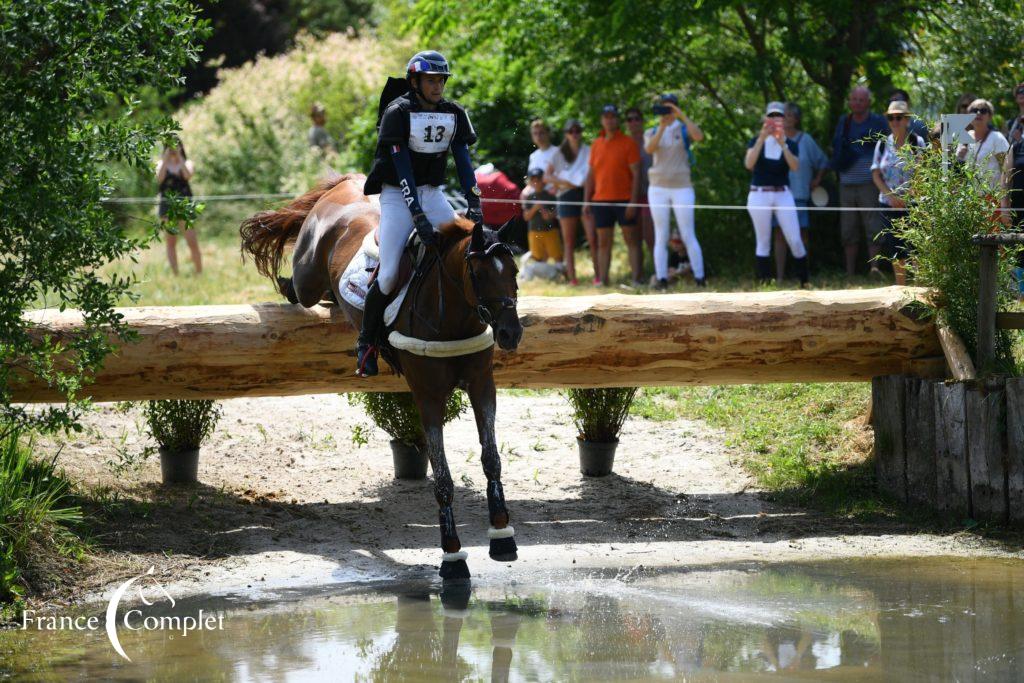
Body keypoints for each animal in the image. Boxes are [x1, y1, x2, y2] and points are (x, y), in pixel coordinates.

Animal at [240, 172, 524, 581]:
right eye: (479, 274)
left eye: (514, 272)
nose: (511, 334)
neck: (455, 316)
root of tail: (345, 183)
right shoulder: (429, 395)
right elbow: (442, 477)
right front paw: (452, 556)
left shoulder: (482, 385)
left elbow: (492, 458)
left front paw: (502, 534)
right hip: (309, 269)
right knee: (298, 287)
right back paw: (292, 288)